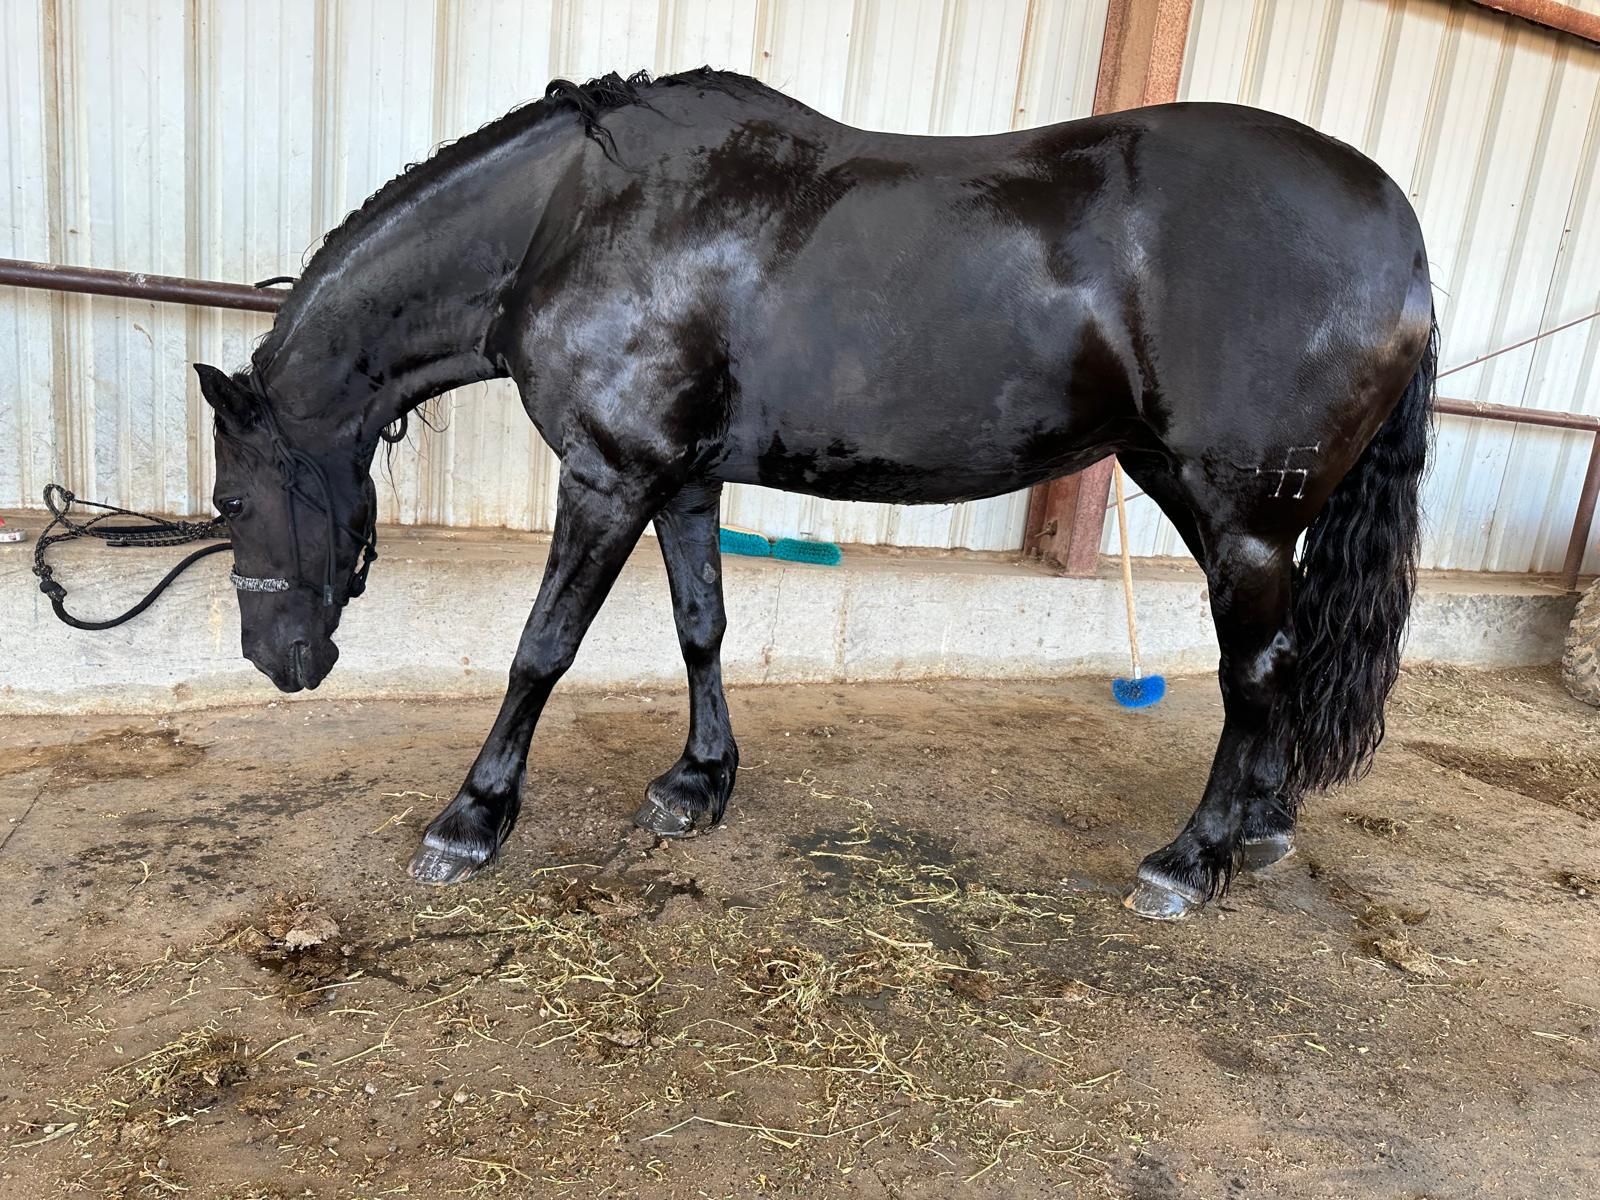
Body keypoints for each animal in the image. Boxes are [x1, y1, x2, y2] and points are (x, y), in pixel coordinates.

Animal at [195, 68, 1436, 921]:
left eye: (235, 506)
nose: (277, 661)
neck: (575, 219)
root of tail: (1403, 238)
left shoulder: (609, 476)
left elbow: (541, 650)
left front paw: (473, 819)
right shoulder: (682, 481)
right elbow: (700, 626)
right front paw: (697, 783)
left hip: (1240, 513)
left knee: (1253, 668)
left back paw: (1193, 859)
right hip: (1195, 493)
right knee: (1277, 656)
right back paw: (1262, 828)